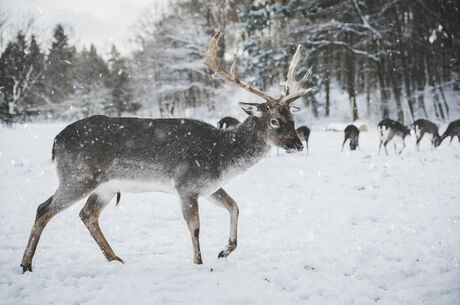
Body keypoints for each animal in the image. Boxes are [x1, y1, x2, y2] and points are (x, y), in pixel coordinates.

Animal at [18, 32, 312, 272]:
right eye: (274, 121)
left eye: (292, 117)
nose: (298, 145)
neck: (221, 156)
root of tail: (56, 140)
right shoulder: (186, 185)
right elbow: (195, 227)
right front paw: (199, 263)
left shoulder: (208, 187)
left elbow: (235, 206)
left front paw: (225, 251)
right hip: (77, 176)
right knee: (43, 208)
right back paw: (26, 264)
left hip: (105, 186)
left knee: (87, 215)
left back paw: (116, 259)